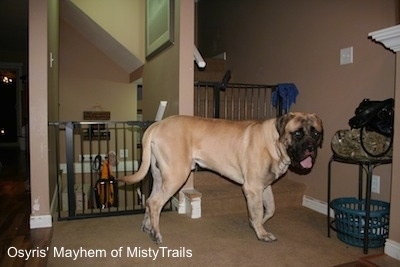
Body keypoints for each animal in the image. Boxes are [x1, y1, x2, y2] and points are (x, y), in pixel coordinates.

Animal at [119, 113, 322, 245]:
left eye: (316, 133)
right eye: (297, 133)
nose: (311, 148)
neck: (274, 142)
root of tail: (158, 124)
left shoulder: (265, 186)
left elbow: (270, 209)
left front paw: (258, 225)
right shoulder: (253, 188)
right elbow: (257, 211)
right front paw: (261, 232)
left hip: (160, 176)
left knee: (149, 200)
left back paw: (148, 227)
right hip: (176, 174)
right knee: (155, 203)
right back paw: (157, 235)